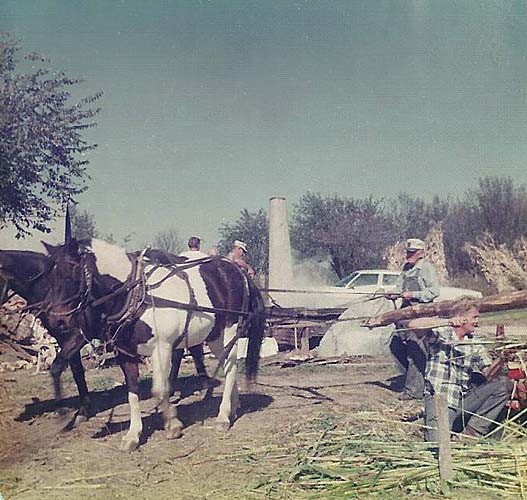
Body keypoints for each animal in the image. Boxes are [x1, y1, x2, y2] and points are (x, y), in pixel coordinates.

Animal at [43, 238, 266, 454]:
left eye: (71, 271)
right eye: (48, 277)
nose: (57, 321)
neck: (136, 295)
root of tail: (239, 273)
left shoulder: (162, 348)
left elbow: (159, 389)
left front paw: (172, 423)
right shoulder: (125, 354)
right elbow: (133, 393)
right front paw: (133, 436)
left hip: (230, 330)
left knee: (230, 368)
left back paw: (223, 417)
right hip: (214, 336)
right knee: (229, 367)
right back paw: (234, 407)